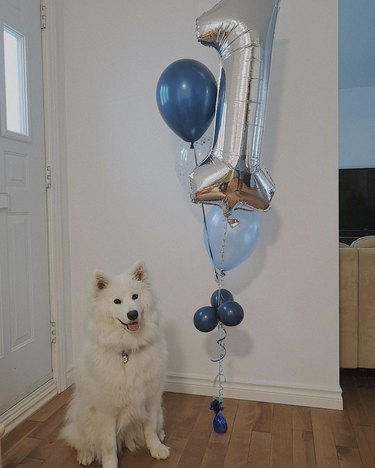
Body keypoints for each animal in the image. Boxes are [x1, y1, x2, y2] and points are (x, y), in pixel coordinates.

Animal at [60, 262, 170, 466]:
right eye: (117, 301)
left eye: (135, 296)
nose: (133, 314)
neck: (126, 349)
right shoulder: (106, 412)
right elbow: (108, 444)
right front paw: (110, 464)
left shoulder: (150, 400)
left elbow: (150, 428)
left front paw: (156, 448)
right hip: (84, 417)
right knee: (80, 439)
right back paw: (85, 454)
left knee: (156, 426)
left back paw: (161, 434)